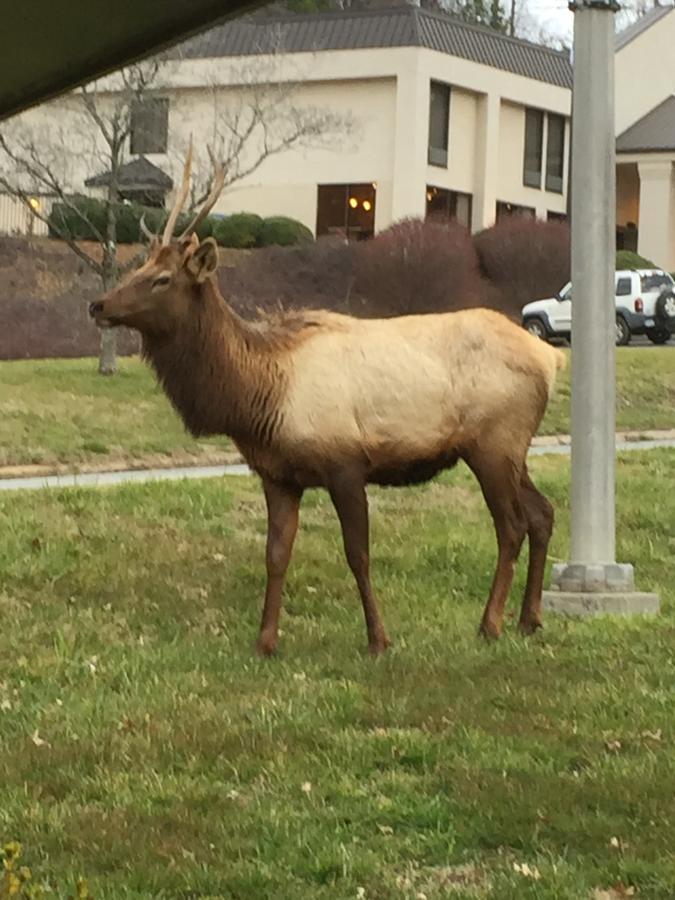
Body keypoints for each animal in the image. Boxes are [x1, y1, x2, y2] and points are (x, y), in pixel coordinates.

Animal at [90, 146, 564, 652]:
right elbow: (276, 554)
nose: (98, 305)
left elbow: (358, 554)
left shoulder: (345, 463)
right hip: (512, 450)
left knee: (512, 526)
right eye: (138, 266)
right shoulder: (278, 475)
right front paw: (265, 642)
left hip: (494, 442)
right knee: (543, 513)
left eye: (161, 278)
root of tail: (551, 358)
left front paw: (378, 639)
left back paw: (490, 623)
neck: (259, 397)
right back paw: (529, 618)